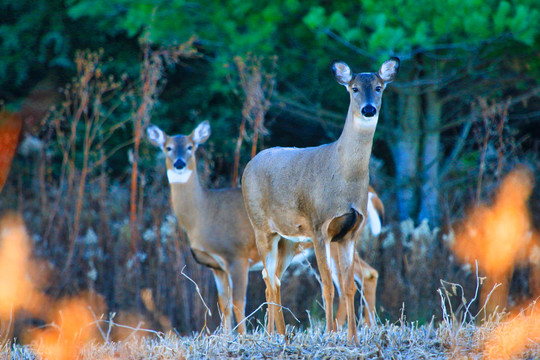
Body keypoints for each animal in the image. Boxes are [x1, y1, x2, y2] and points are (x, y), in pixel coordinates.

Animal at [243, 57, 398, 340]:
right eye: (354, 88)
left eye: (379, 87)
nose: (369, 109)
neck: (343, 177)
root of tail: (250, 164)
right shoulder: (318, 227)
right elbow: (327, 286)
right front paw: (329, 334)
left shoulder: (351, 232)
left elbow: (348, 286)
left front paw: (352, 338)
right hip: (261, 227)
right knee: (270, 279)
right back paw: (278, 335)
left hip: (288, 238)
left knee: (273, 278)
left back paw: (279, 334)